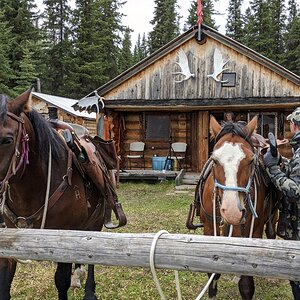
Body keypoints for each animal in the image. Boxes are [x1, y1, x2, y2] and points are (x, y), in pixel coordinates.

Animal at [0, 89, 119, 300]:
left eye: (7, 140)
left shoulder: (64, 231)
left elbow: (61, 280)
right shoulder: (9, 240)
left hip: (96, 221)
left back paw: (89, 289)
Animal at [189, 116, 278, 298]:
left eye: (250, 160)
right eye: (214, 160)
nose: (232, 211)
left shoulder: (252, 231)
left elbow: (246, 284)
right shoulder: (210, 228)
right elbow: (213, 269)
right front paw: (212, 291)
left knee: (271, 234)